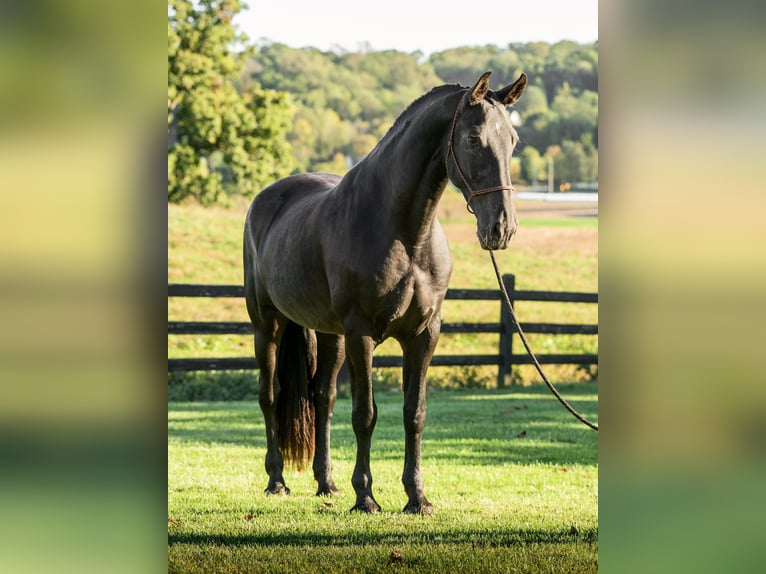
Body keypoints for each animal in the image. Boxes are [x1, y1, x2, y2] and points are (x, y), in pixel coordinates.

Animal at [243, 71, 527, 514]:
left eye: (512, 141)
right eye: (473, 139)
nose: (502, 228)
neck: (405, 233)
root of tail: (265, 199)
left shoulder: (424, 335)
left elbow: (415, 414)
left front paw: (417, 497)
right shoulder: (362, 334)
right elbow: (365, 414)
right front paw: (366, 496)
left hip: (330, 334)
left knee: (323, 398)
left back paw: (326, 483)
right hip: (267, 325)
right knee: (269, 396)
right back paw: (276, 480)